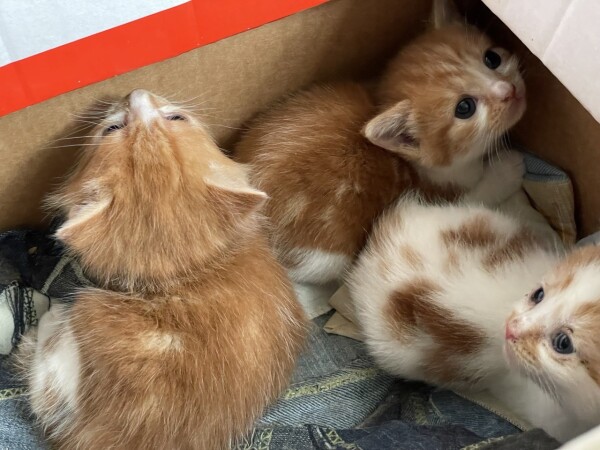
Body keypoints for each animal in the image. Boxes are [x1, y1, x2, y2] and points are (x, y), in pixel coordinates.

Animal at [17, 90, 310, 450]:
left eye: (175, 118)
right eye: (113, 127)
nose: (135, 93)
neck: (178, 269)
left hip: (88, 311)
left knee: (44, 388)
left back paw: (47, 320)